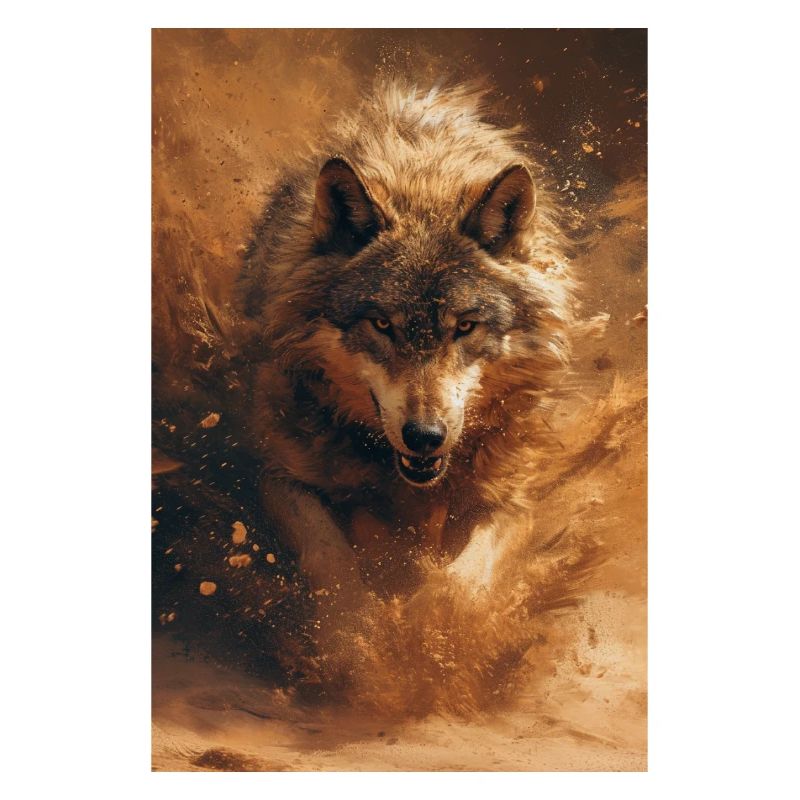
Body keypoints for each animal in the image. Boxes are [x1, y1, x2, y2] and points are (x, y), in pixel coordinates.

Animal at [237, 83, 575, 609]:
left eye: (465, 326)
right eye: (382, 324)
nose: (425, 436)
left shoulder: (513, 495)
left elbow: (461, 585)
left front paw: (430, 620)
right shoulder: (277, 472)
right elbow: (331, 562)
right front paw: (362, 627)